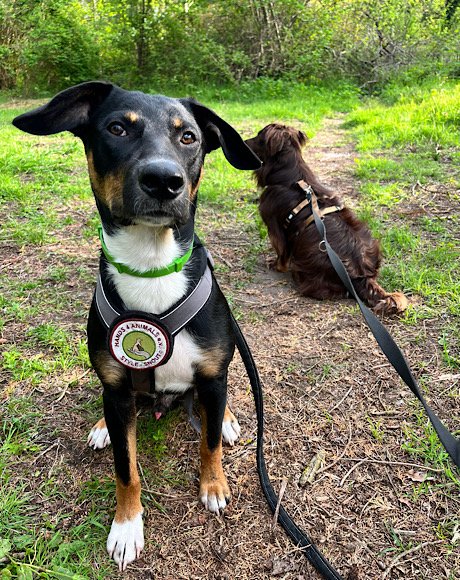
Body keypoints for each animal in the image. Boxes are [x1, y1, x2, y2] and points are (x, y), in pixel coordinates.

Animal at [13, 81, 261, 570]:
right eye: (116, 128)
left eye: (189, 137)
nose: (164, 180)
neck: (152, 266)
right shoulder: (116, 385)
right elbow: (126, 469)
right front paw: (127, 527)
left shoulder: (212, 373)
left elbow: (208, 444)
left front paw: (214, 485)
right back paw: (103, 427)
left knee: (213, 407)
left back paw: (225, 419)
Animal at [246, 124, 407, 315]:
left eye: (258, 136)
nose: (244, 141)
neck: (290, 176)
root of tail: (361, 276)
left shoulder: (274, 227)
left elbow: (281, 253)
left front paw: (276, 265)